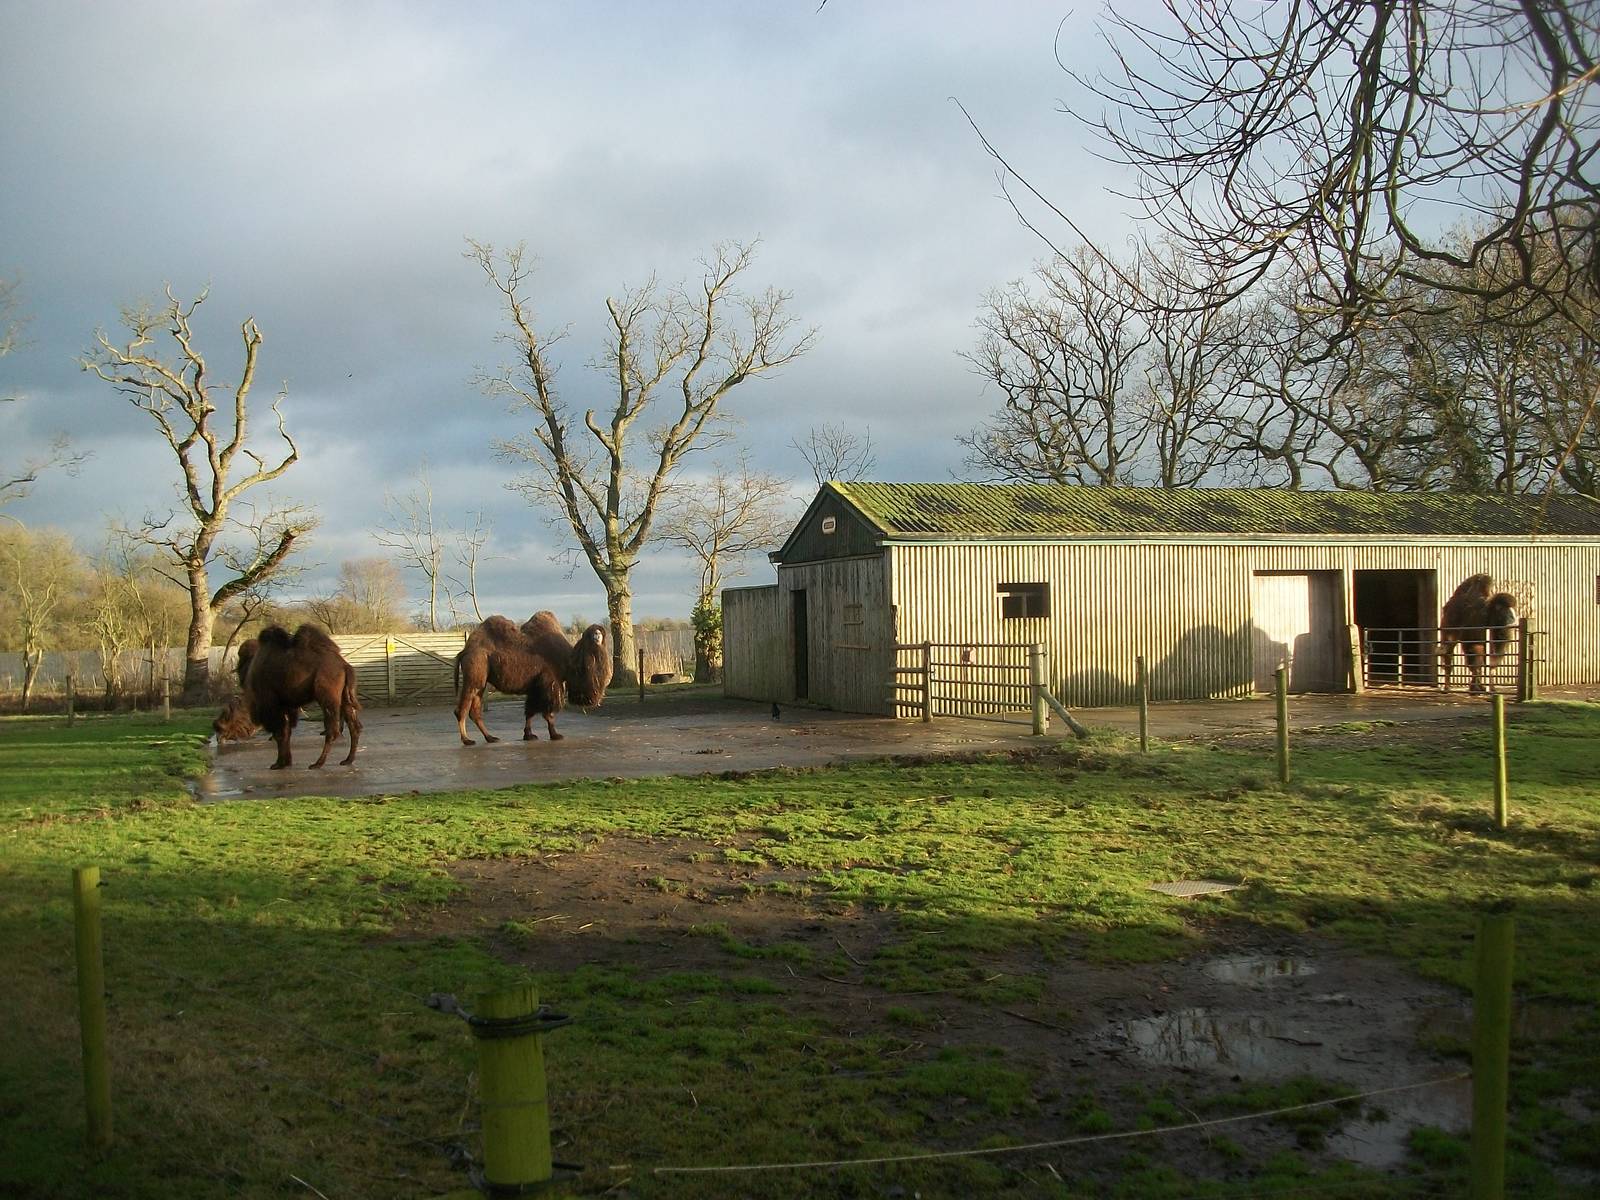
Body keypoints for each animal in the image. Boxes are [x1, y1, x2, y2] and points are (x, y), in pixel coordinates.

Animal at [454, 612, 612, 745]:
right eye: (591, 633)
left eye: (600, 632)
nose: (597, 635)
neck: (568, 660)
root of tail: (464, 651)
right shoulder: (550, 682)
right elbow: (548, 713)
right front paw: (555, 735)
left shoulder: (535, 687)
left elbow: (529, 711)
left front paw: (528, 735)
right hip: (475, 674)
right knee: (462, 709)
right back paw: (467, 740)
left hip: (481, 682)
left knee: (475, 711)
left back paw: (490, 737)